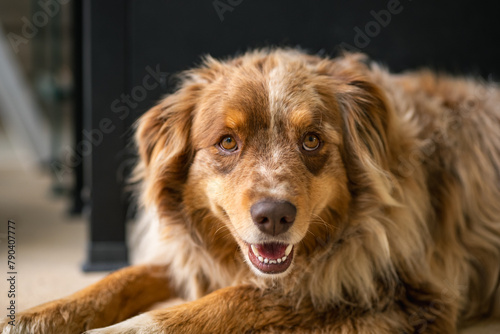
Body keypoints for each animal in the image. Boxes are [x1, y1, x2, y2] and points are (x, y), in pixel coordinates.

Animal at [2, 48, 500, 332]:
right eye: (227, 142)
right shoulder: (193, 257)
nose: (274, 215)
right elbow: (114, 281)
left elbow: (218, 306)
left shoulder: (393, 293)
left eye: (312, 140)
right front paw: (29, 317)